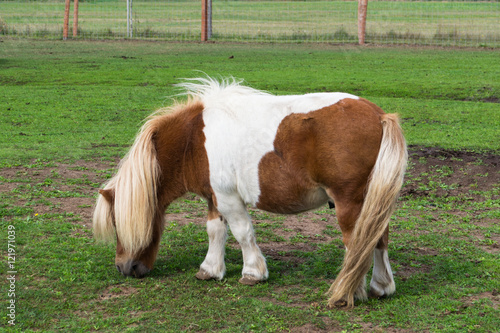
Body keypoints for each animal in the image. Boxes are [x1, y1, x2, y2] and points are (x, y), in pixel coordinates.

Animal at [93, 77, 406, 306]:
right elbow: (215, 231)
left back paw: (350, 292)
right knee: (378, 239)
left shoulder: (229, 198)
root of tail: (380, 116)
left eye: (119, 224)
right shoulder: (215, 197)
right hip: (371, 202)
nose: (125, 269)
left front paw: (253, 273)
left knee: (357, 244)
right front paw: (210, 270)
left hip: (349, 203)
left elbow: (243, 233)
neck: (193, 141)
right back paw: (380, 287)